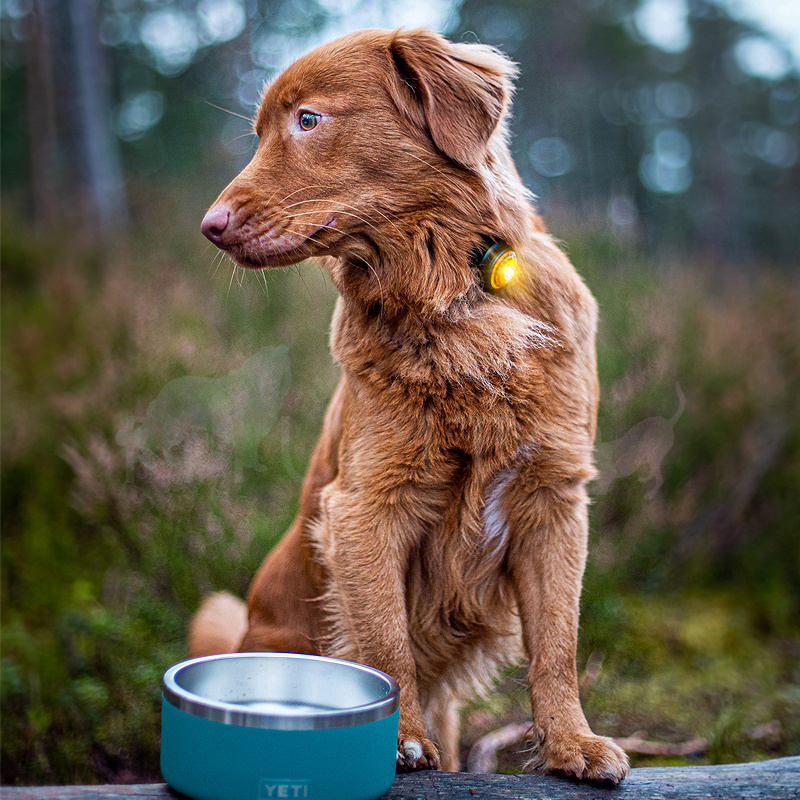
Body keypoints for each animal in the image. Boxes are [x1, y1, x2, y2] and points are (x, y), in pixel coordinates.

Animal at [192, 26, 632, 780]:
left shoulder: (553, 499)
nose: (208, 226)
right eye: (260, 132)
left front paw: (572, 743)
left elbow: (557, 646)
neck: (446, 294)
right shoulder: (367, 505)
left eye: (307, 120)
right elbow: (386, 645)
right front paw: (401, 740)